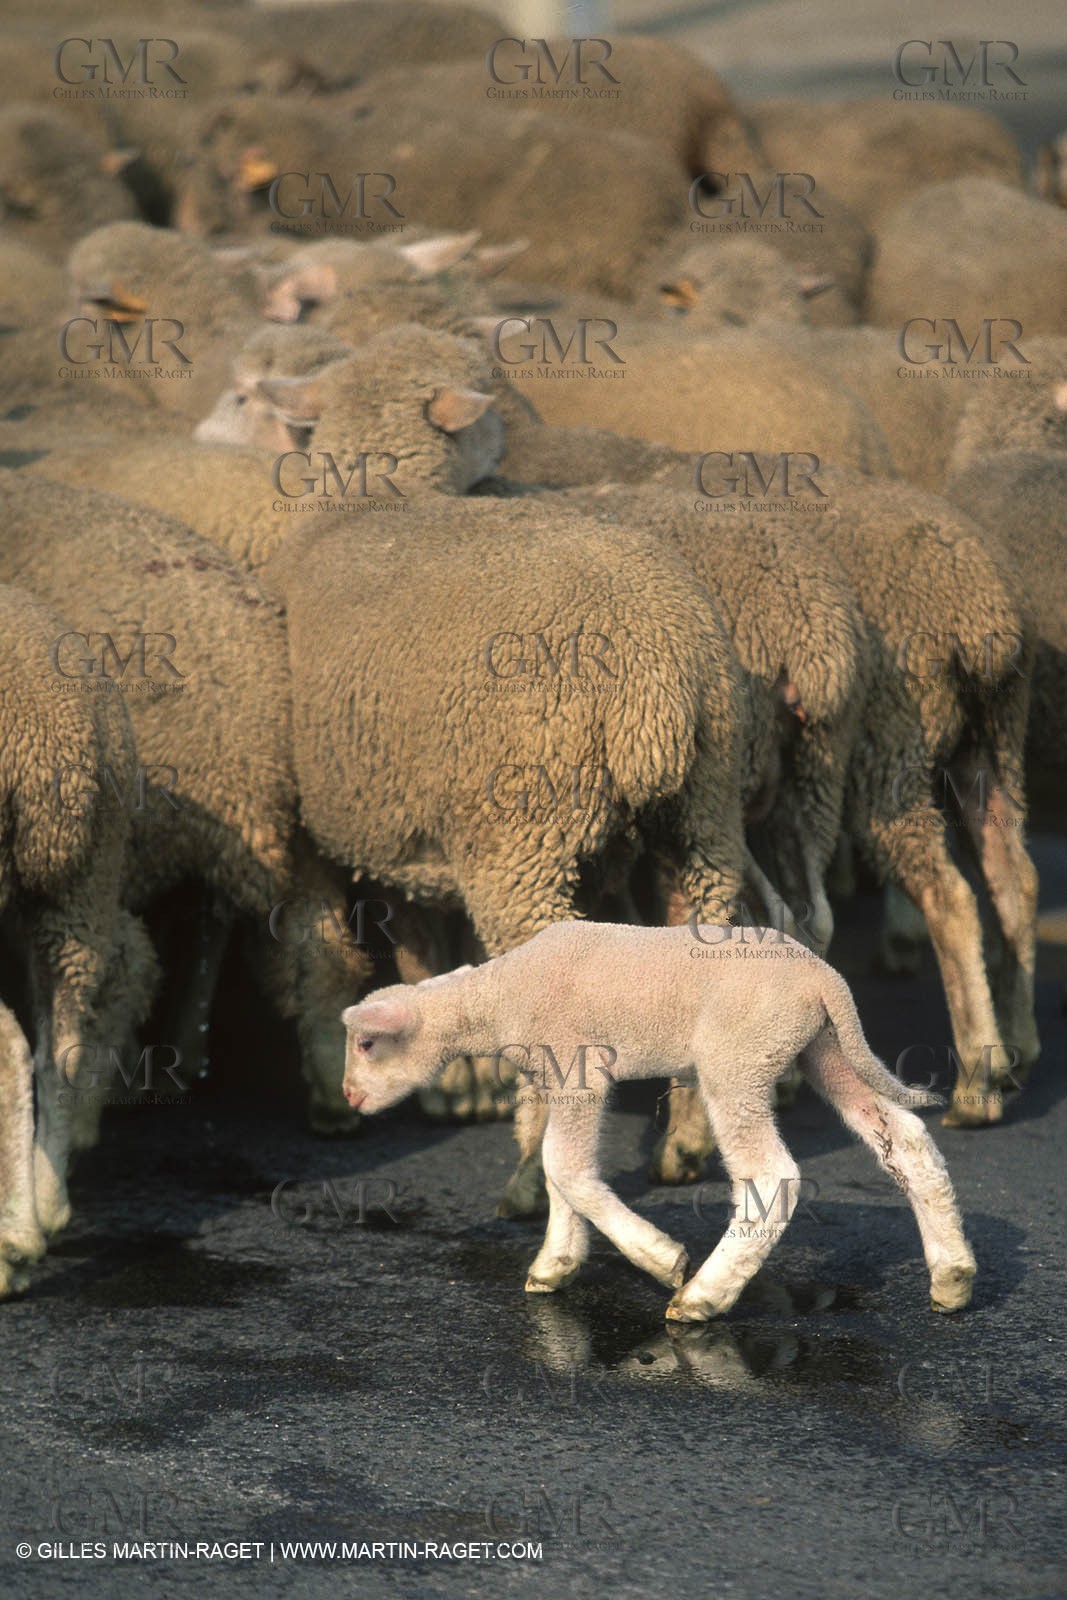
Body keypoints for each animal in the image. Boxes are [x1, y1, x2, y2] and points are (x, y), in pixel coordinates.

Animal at [264, 498, 753, 1208]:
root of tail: (657, 676)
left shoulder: (307, 825)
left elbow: (325, 953)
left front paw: (333, 1096)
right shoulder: (419, 832)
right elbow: (426, 950)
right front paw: (455, 1087)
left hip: (524, 834)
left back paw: (530, 1180)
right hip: (702, 817)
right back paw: (683, 1148)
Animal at [340, 923, 977, 1320]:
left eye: (367, 1044)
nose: (348, 1097)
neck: (500, 996)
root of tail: (826, 979)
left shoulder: (577, 1064)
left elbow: (564, 1167)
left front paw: (659, 1258)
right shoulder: (558, 1076)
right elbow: (555, 1167)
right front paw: (555, 1265)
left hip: (738, 1057)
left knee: (771, 1176)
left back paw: (701, 1297)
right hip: (823, 1048)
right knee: (905, 1140)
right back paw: (952, 1276)